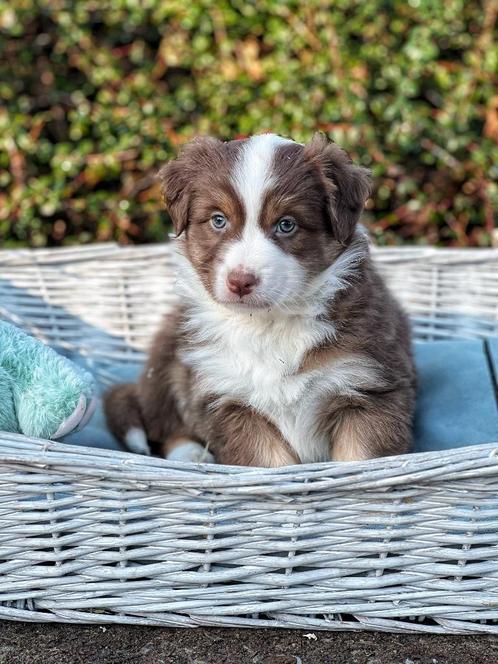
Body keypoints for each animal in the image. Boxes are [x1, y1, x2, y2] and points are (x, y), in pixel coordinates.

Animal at [105, 134, 416, 466]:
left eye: (286, 224)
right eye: (218, 220)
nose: (240, 281)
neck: (268, 323)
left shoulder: (368, 388)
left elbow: (360, 458)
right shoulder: (229, 399)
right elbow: (268, 463)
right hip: (168, 365)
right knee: (163, 424)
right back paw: (190, 454)